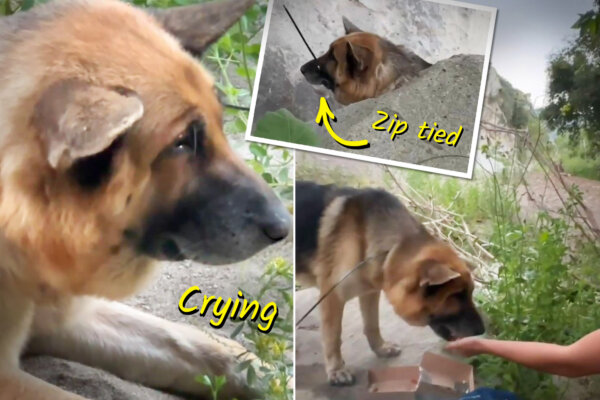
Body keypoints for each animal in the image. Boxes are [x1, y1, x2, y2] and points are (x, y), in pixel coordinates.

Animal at [0, 0, 290, 400]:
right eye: (182, 143)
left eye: (219, 124)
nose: (285, 225)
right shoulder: (7, 376)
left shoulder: (65, 315)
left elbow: (203, 347)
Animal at [296, 181, 482, 384]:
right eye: (457, 296)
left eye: (470, 293)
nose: (482, 331)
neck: (391, 247)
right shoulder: (332, 297)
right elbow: (333, 335)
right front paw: (337, 369)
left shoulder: (369, 292)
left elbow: (372, 324)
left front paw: (381, 348)